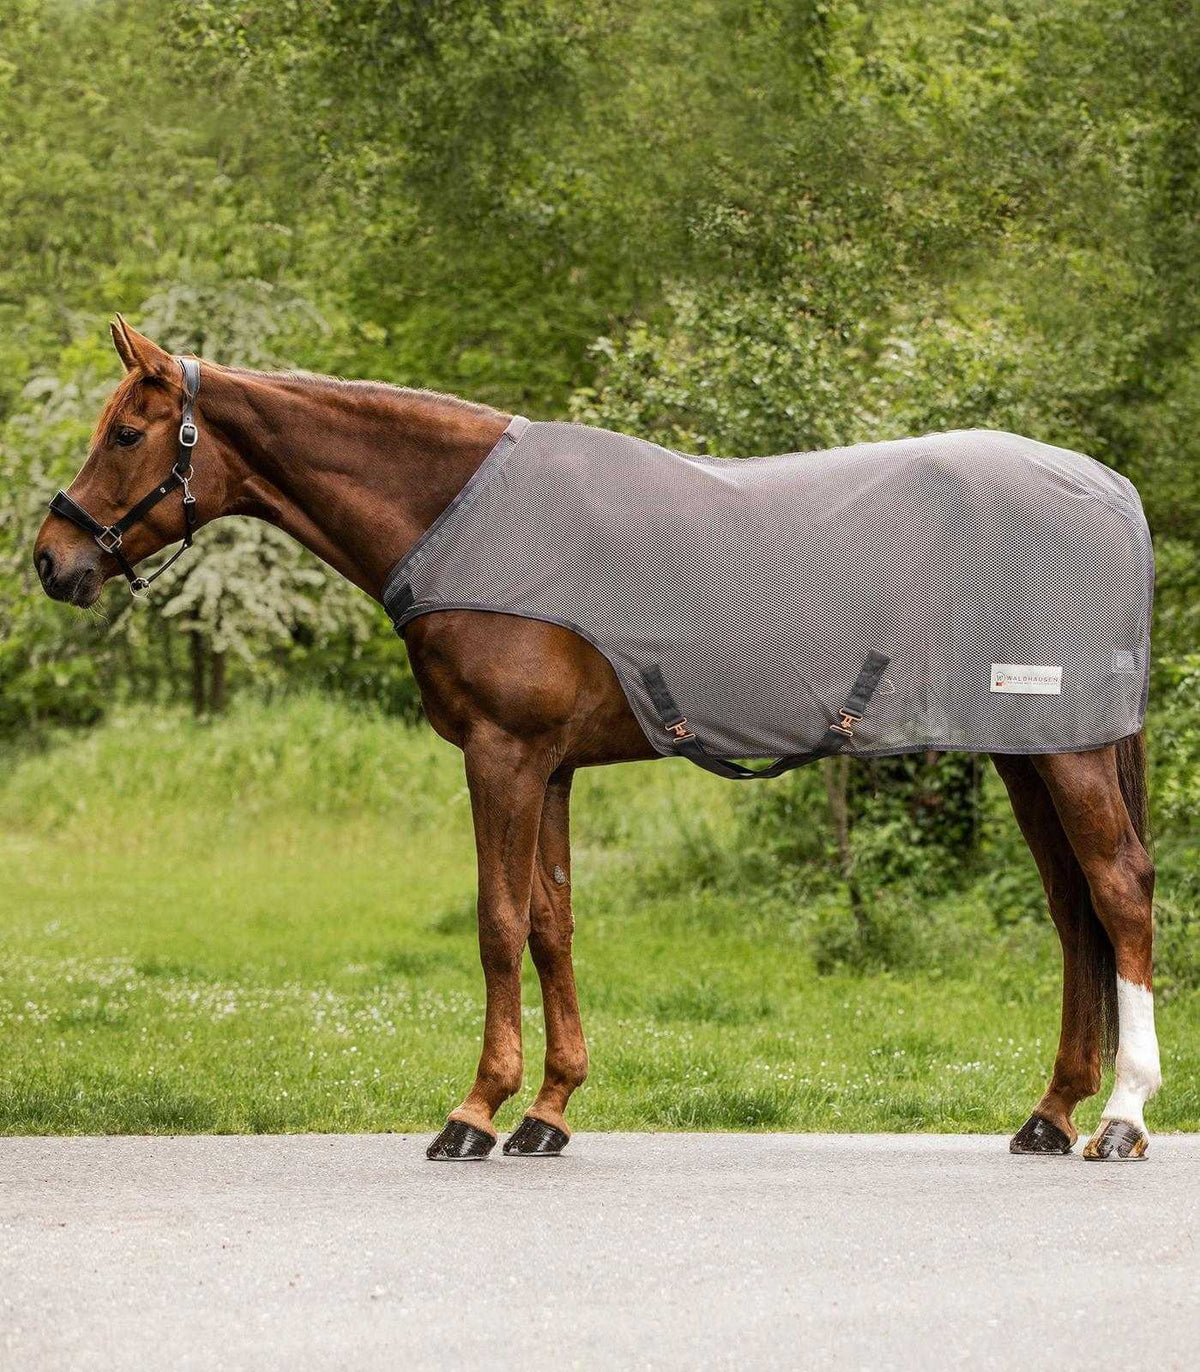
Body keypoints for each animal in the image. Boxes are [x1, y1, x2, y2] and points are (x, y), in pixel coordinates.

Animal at [33, 318, 1162, 1161]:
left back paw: (1120, 1117)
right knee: (1073, 915)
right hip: (1028, 752)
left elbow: (496, 923)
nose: (50, 559)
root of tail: (1112, 492)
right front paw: (548, 1110)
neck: (461, 521)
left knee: (1118, 894)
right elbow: (551, 925)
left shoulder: (502, 756)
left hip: (1066, 753)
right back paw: (1049, 1113)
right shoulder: (552, 768)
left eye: (127, 433)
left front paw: (474, 1111)